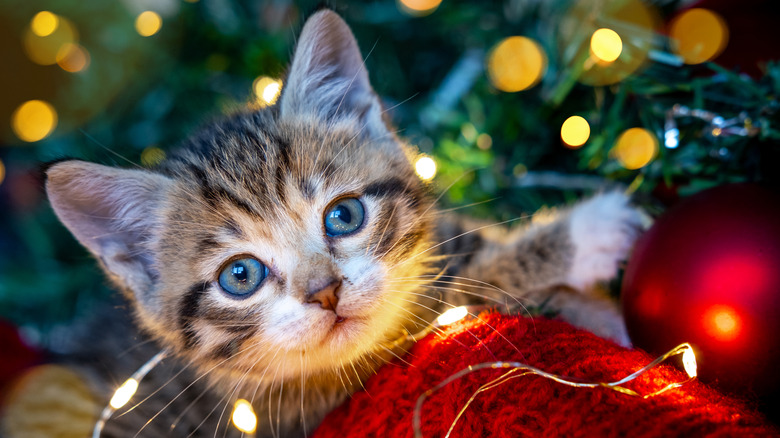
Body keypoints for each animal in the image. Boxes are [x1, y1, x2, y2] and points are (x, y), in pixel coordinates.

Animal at [38, 7, 640, 438]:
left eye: (343, 215)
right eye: (240, 276)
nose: (325, 292)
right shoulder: (311, 403)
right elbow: (455, 298)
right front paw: (584, 234)